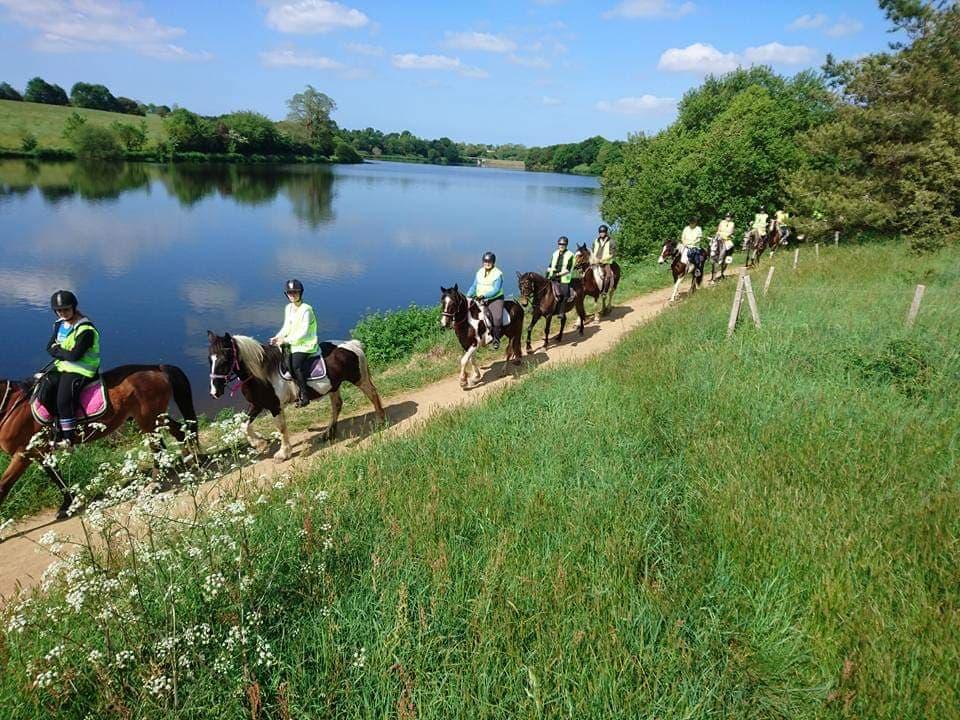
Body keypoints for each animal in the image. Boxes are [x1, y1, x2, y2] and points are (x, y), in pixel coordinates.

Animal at [0, 366, 198, 516]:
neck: (12, 407)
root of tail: (158, 369)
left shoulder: (23, 454)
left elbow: (3, 486)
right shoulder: (39, 453)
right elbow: (57, 477)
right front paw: (68, 504)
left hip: (148, 421)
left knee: (158, 447)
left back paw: (157, 482)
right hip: (155, 419)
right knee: (179, 433)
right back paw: (188, 461)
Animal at [208, 334, 384, 462]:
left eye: (224, 360)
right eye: (210, 359)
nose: (214, 392)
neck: (261, 375)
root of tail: (353, 345)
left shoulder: (275, 406)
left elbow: (281, 428)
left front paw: (283, 453)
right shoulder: (257, 404)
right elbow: (244, 426)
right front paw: (260, 443)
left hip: (359, 379)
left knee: (373, 394)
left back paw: (380, 421)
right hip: (333, 386)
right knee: (337, 405)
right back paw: (328, 433)